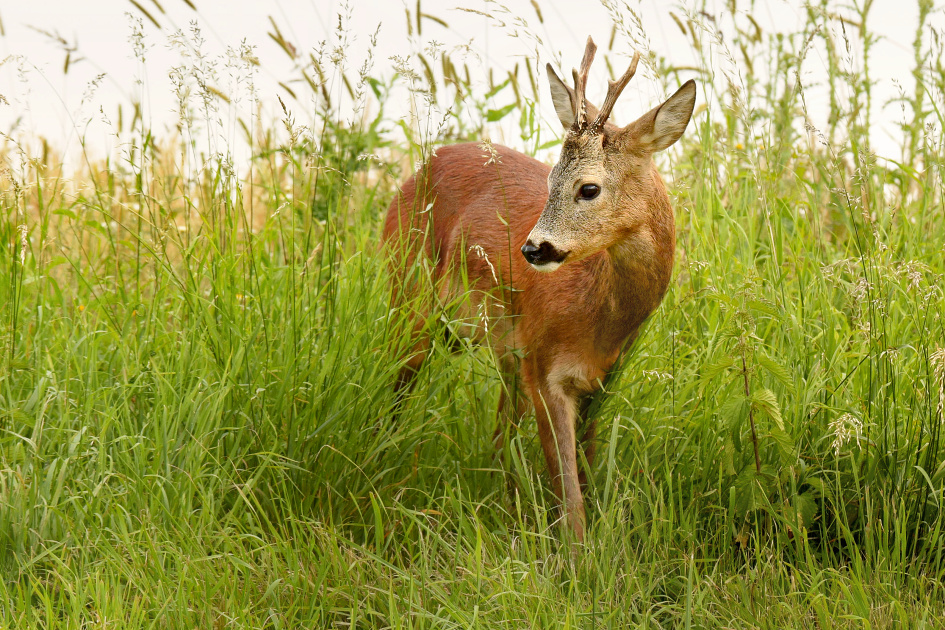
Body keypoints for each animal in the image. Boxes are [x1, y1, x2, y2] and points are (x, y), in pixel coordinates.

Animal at [382, 38, 692, 544]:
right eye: (549, 180)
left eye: (589, 188)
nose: (532, 248)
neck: (599, 315)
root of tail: (419, 168)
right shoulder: (546, 367)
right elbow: (568, 492)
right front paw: (576, 556)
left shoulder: (599, 378)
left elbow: (584, 473)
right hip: (409, 294)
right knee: (397, 383)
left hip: (500, 346)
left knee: (499, 430)